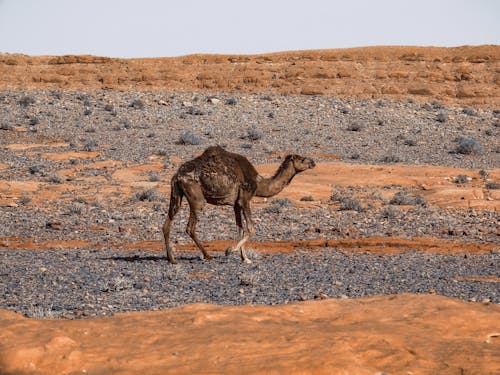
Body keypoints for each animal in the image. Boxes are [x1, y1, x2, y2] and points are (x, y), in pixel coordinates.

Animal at [162, 145, 314, 266]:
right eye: (302, 159)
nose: (313, 162)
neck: (259, 183)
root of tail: (177, 176)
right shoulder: (245, 198)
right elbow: (251, 229)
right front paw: (230, 250)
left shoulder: (235, 204)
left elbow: (240, 230)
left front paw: (244, 258)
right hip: (196, 195)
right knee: (190, 227)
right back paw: (207, 255)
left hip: (176, 193)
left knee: (167, 223)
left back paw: (172, 259)